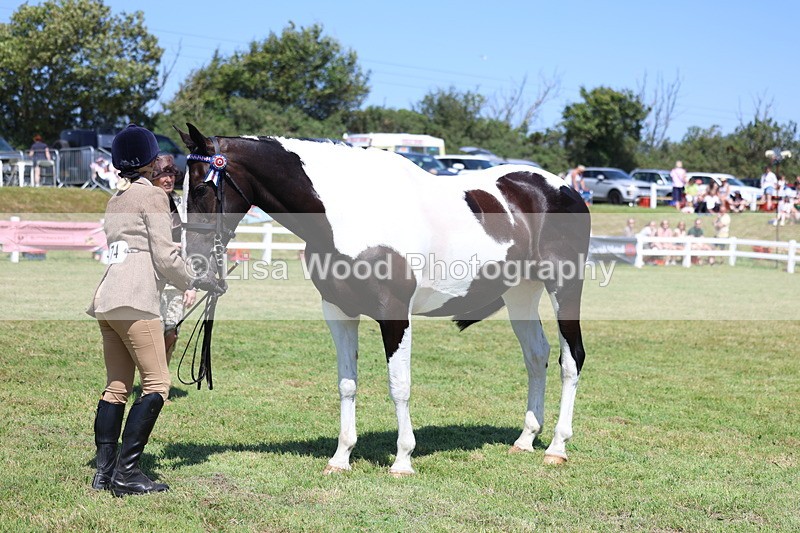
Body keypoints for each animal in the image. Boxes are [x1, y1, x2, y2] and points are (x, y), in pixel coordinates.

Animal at [178, 124, 590, 475]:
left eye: (199, 190)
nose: (194, 263)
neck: (351, 212)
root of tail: (566, 190)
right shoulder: (338, 311)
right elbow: (347, 383)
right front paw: (341, 458)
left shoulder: (394, 314)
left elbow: (399, 385)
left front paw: (403, 460)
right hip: (520, 293)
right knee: (536, 356)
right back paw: (526, 439)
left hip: (564, 287)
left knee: (571, 359)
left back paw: (557, 448)